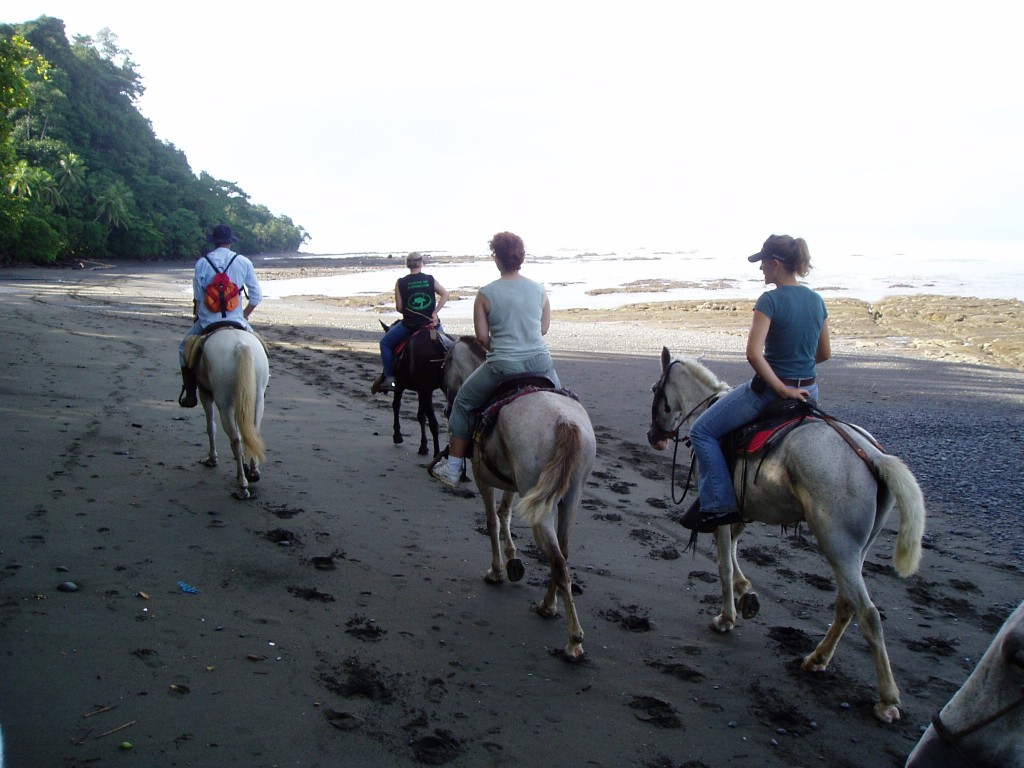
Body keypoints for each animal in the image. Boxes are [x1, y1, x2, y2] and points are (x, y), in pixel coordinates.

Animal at [194, 329, 268, 499]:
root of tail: (240, 345)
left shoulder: (204, 394)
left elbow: (210, 427)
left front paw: (212, 459)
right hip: (257, 399)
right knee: (252, 433)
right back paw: (253, 472)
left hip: (224, 403)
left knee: (235, 439)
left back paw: (242, 486)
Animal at [434, 335, 598, 663]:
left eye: (444, 364)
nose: (446, 409)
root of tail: (564, 423)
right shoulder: (514, 485)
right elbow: (505, 513)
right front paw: (512, 561)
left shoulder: (483, 477)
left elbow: (492, 521)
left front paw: (497, 571)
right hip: (568, 500)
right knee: (562, 555)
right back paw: (548, 605)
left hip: (542, 508)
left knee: (558, 562)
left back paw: (573, 641)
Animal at [647, 346, 929, 724]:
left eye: (655, 390)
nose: (654, 437)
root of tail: (872, 455)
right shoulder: (743, 510)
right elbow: (734, 551)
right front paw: (745, 592)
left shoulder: (721, 511)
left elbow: (723, 564)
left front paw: (726, 617)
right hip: (855, 549)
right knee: (847, 604)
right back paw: (816, 659)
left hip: (837, 545)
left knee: (867, 613)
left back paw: (886, 699)